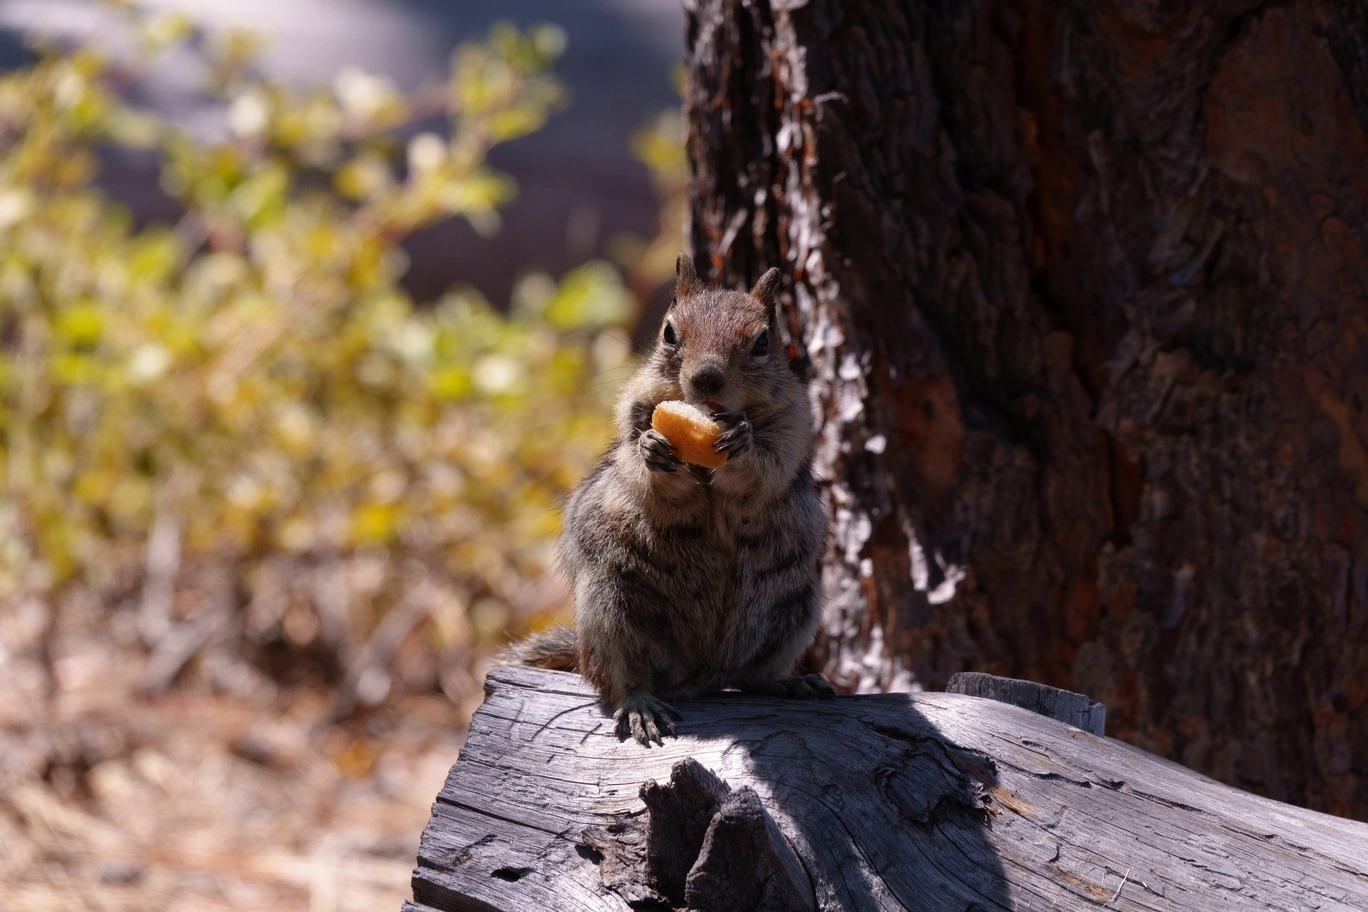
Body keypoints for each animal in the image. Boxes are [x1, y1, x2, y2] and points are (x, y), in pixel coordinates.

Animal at [507, 253, 834, 745]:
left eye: (763, 341)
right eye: (668, 332)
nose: (707, 378)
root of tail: (699, 676)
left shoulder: (794, 424)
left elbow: (767, 467)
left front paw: (743, 442)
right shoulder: (633, 415)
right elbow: (644, 467)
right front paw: (653, 451)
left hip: (795, 610)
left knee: (751, 676)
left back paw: (789, 682)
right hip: (609, 610)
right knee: (620, 680)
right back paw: (640, 704)